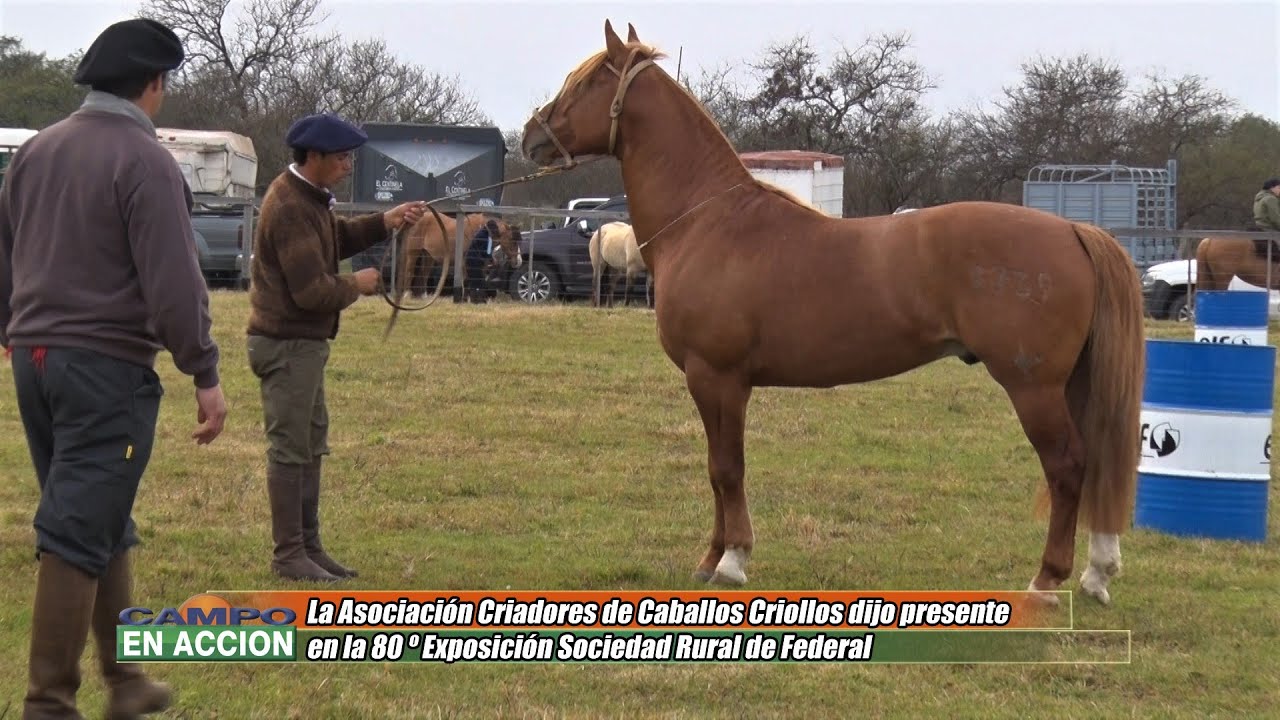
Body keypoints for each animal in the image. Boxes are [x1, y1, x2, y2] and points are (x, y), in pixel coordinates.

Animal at [393, 213, 523, 305]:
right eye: (512, 240)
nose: (518, 262)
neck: (479, 231)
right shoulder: (465, 262)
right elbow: (466, 280)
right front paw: (465, 299)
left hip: (428, 256)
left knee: (423, 275)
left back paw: (423, 297)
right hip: (413, 253)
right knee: (409, 272)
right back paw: (407, 295)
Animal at [520, 20, 1145, 605]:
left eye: (589, 82)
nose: (531, 135)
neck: (707, 222)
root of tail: (1073, 229)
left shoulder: (716, 377)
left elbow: (727, 468)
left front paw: (732, 561)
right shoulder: (718, 383)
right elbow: (717, 469)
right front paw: (710, 559)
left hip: (1033, 387)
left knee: (1067, 466)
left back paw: (1046, 581)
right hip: (1072, 383)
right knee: (1096, 461)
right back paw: (1097, 574)